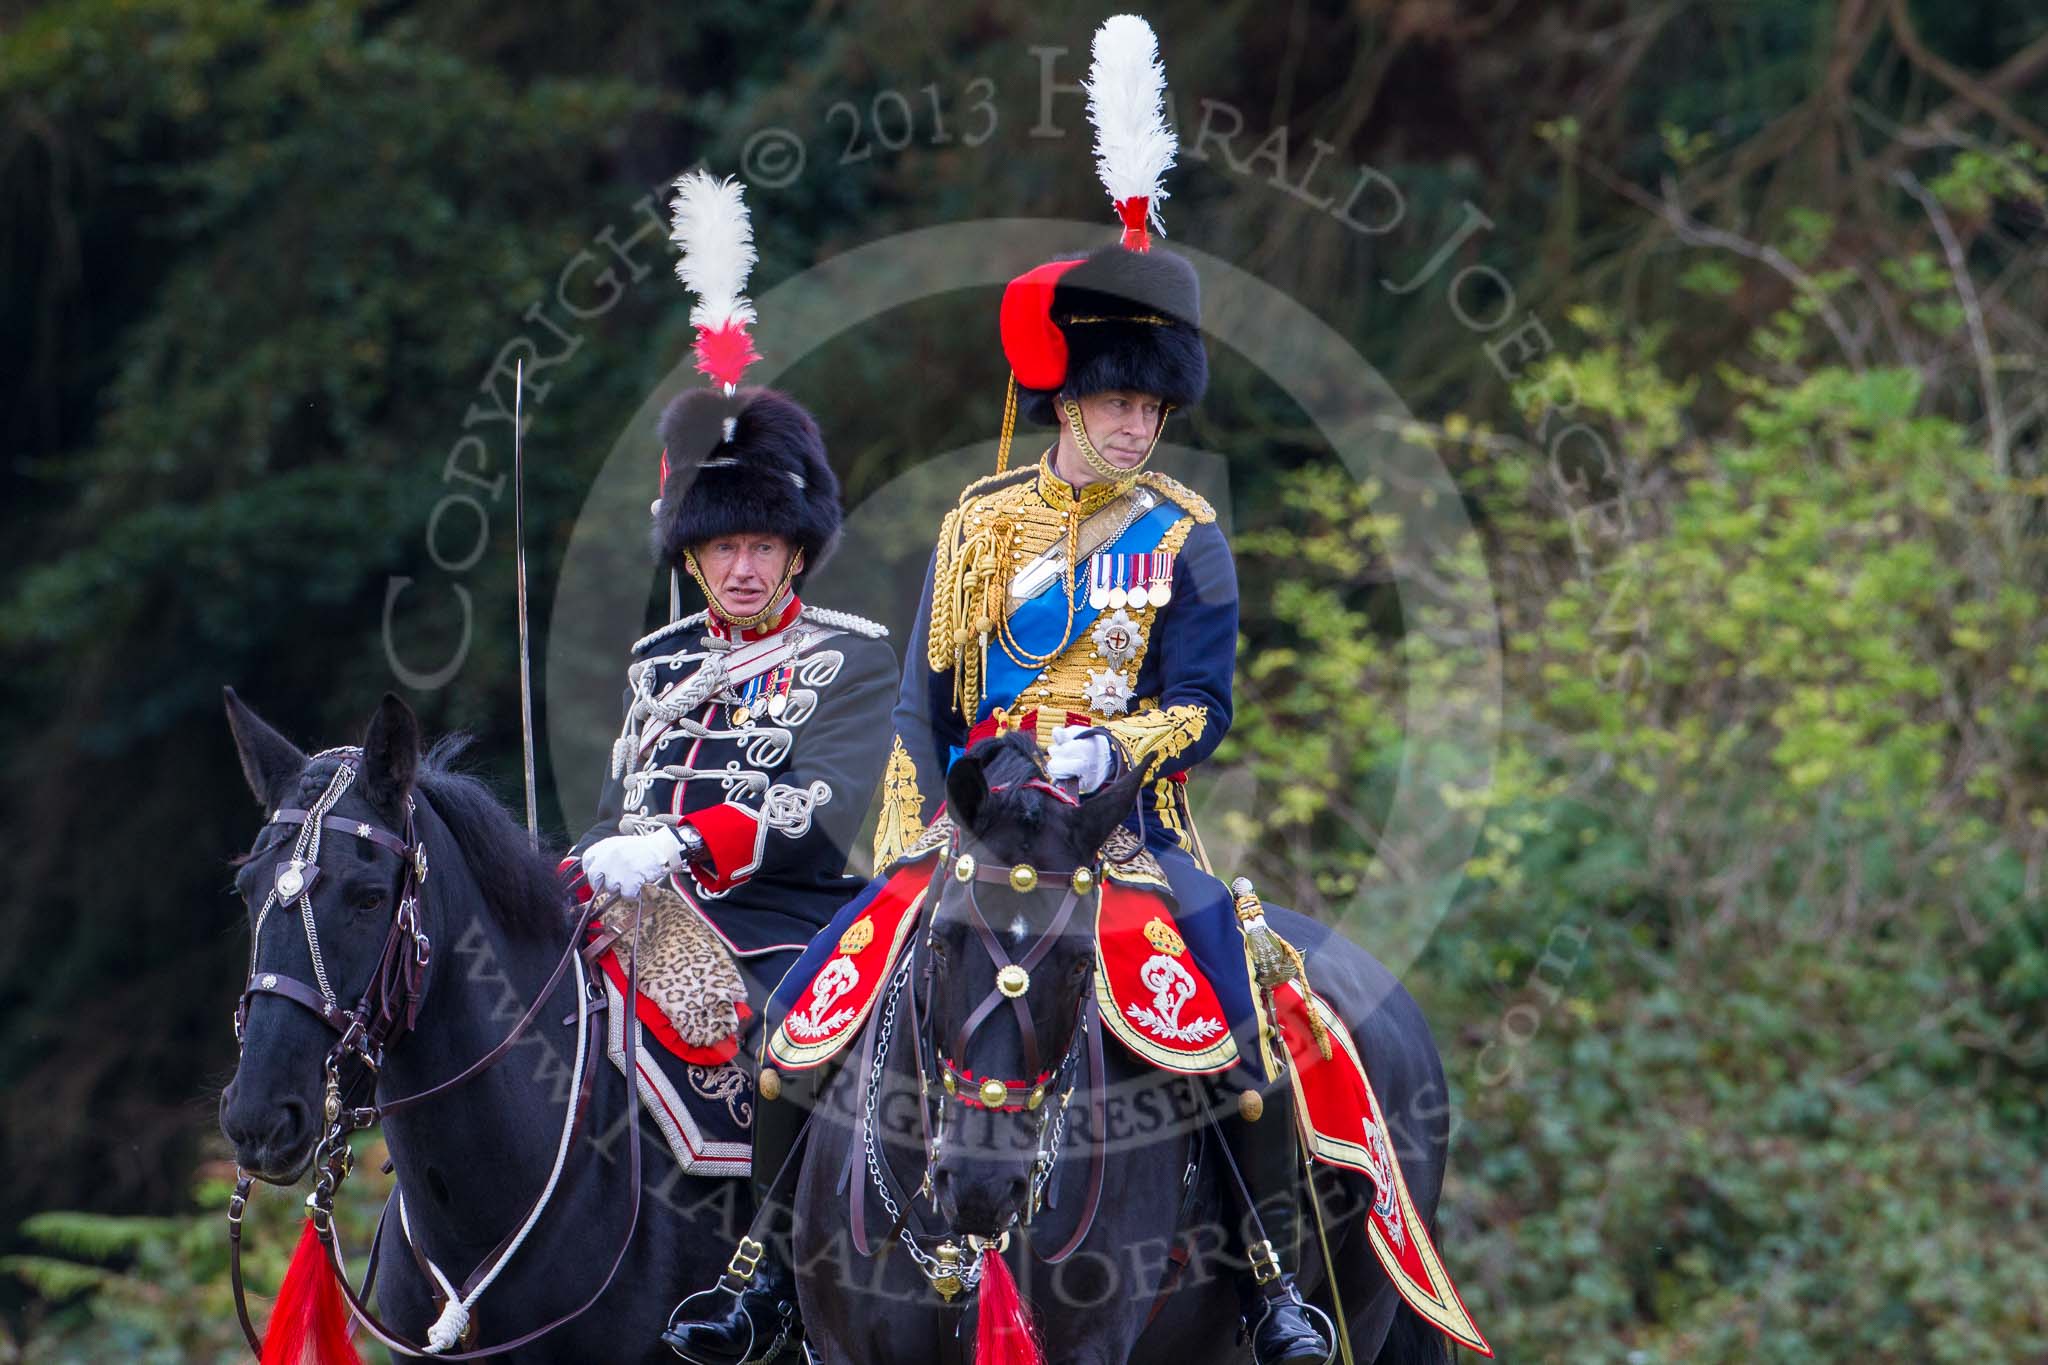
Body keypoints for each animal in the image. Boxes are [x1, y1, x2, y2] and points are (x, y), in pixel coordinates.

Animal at [786, 736, 1458, 1365]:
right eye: (943, 942)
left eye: (1083, 961)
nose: (983, 1186)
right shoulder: (845, 1348)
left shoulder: (1089, 1347)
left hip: (1364, 1313)